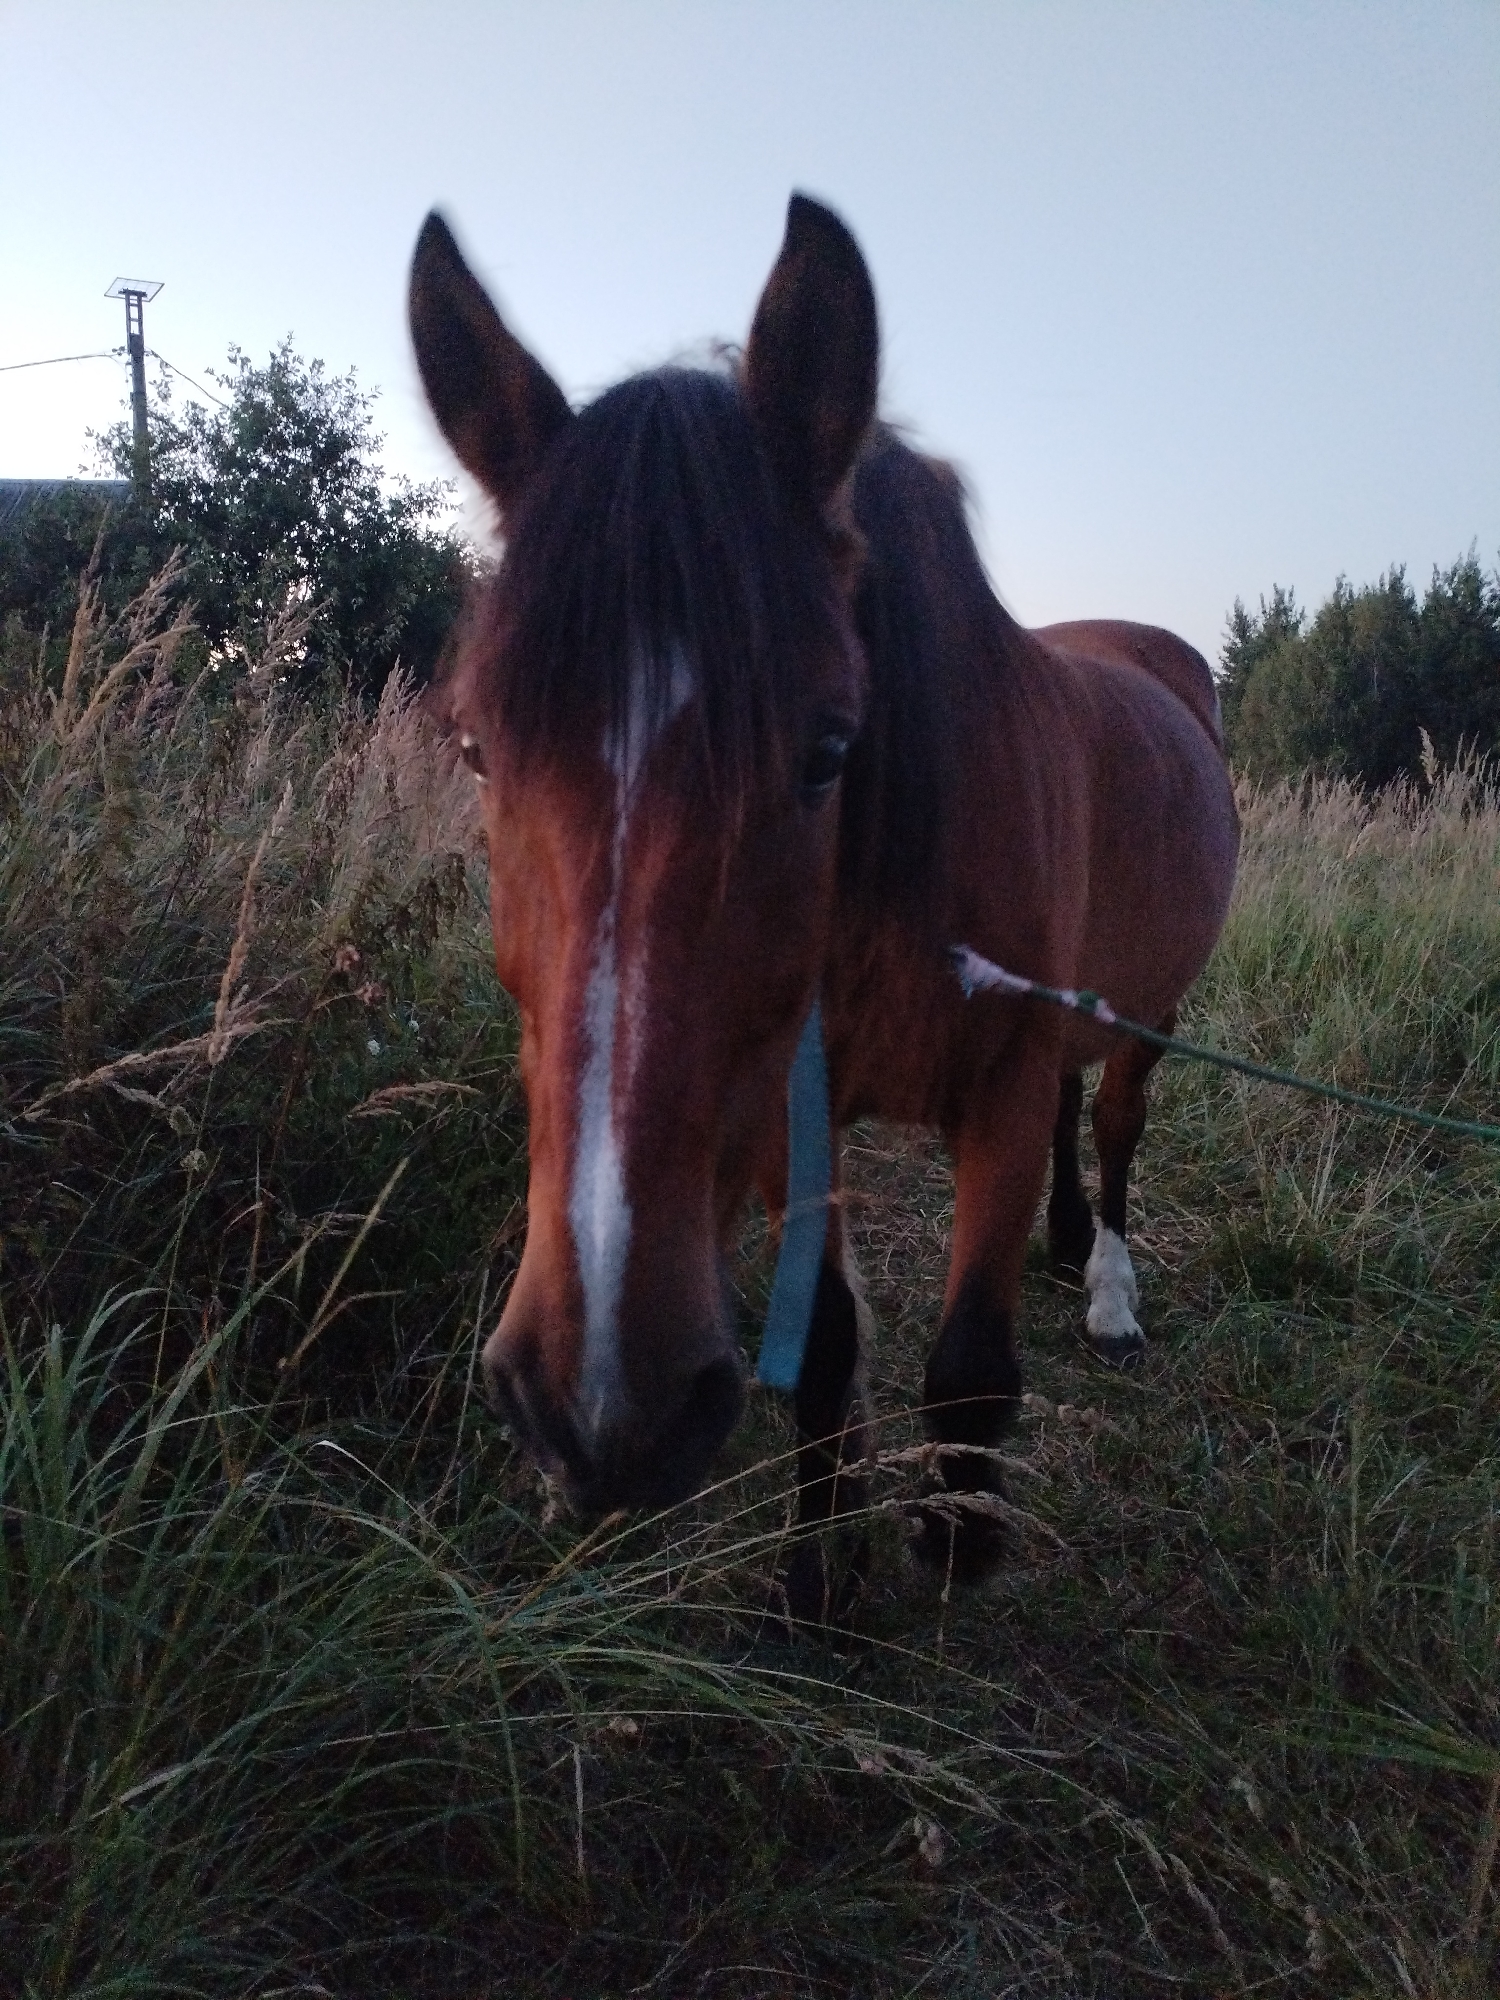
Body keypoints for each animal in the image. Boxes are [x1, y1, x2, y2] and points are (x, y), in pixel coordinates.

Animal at [408, 194, 1239, 1603]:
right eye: (475, 746)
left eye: (829, 749)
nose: (602, 1411)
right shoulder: (795, 1110)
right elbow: (833, 1348)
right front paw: (814, 1572)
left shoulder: (999, 1090)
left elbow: (967, 1368)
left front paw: (958, 1537)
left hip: (1149, 1008)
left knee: (1118, 1116)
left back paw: (1110, 1286)